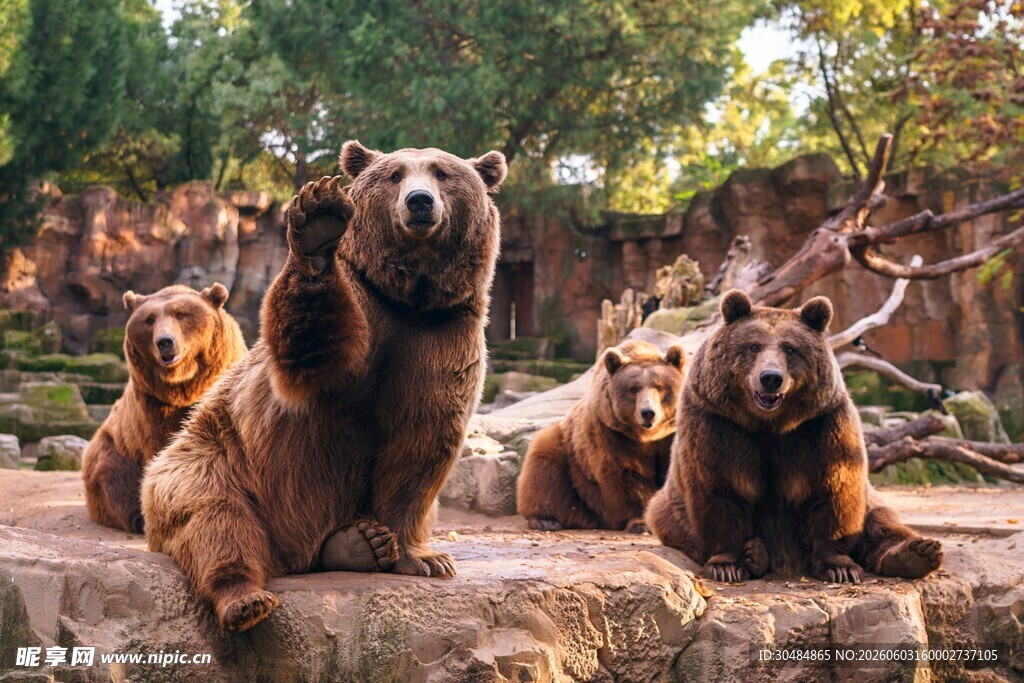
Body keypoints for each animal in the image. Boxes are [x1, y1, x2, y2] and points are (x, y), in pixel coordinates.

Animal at [81, 284, 247, 533]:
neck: (184, 388)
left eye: (181, 313)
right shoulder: (152, 407)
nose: (164, 341)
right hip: (114, 447)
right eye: (149, 319)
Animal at [141, 142, 507, 632]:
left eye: (443, 173)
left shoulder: (441, 338)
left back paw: (360, 543)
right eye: (394, 174)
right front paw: (319, 221)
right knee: (216, 521)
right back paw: (246, 599)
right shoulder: (361, 312)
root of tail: (291, 554)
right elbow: (309, 349)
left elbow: (419, 447)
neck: (409, 299)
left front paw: (425, 558)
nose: (419, 202)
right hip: (210, 464)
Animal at [516, 339, 684, 532]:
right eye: (633, 389)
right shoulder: (612, 434)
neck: (647, 437)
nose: (648, 412)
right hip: (568, 456)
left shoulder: (670, 436)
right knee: (543, 467)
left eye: (660, 386)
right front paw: (641, 522)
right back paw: (545, 520)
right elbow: (627, 475)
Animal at [645, 289, 943, 584]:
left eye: (790, 348)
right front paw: (726, 565)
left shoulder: (819, 426)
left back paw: (916, 553)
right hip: (669, 509)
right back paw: (756, 554)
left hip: (870, 500)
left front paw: (840, 567)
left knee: (881, 521)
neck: (769, 424)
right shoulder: (718, 424)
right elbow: (719, 487)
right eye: (754, 346)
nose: (770, 377)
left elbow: (835, 488)